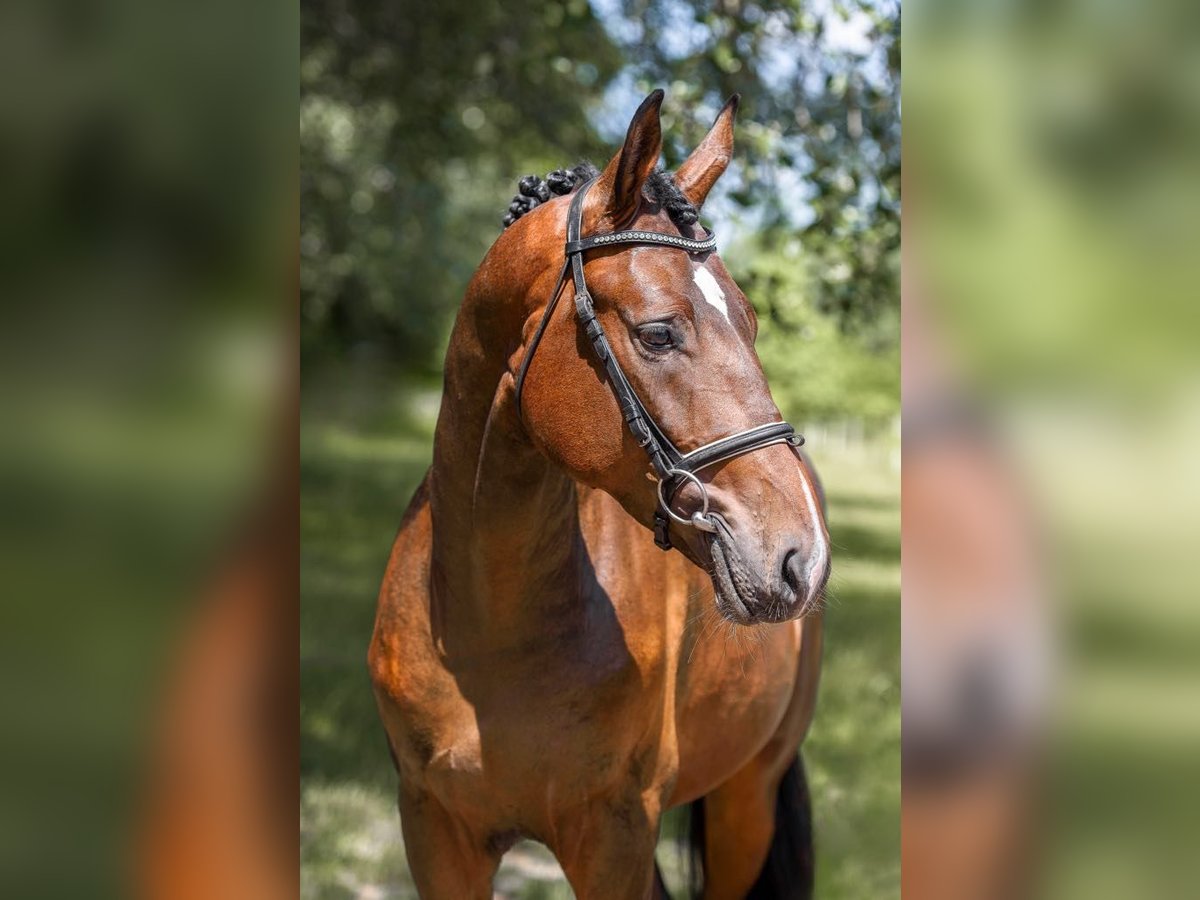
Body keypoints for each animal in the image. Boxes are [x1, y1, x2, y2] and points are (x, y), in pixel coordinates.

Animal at [369, 93, 830, 900]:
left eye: (751, 322)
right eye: (658, 332)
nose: (801, 557)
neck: (487, 632)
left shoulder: (614, 836)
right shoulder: (435, 832)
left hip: (746, 798)